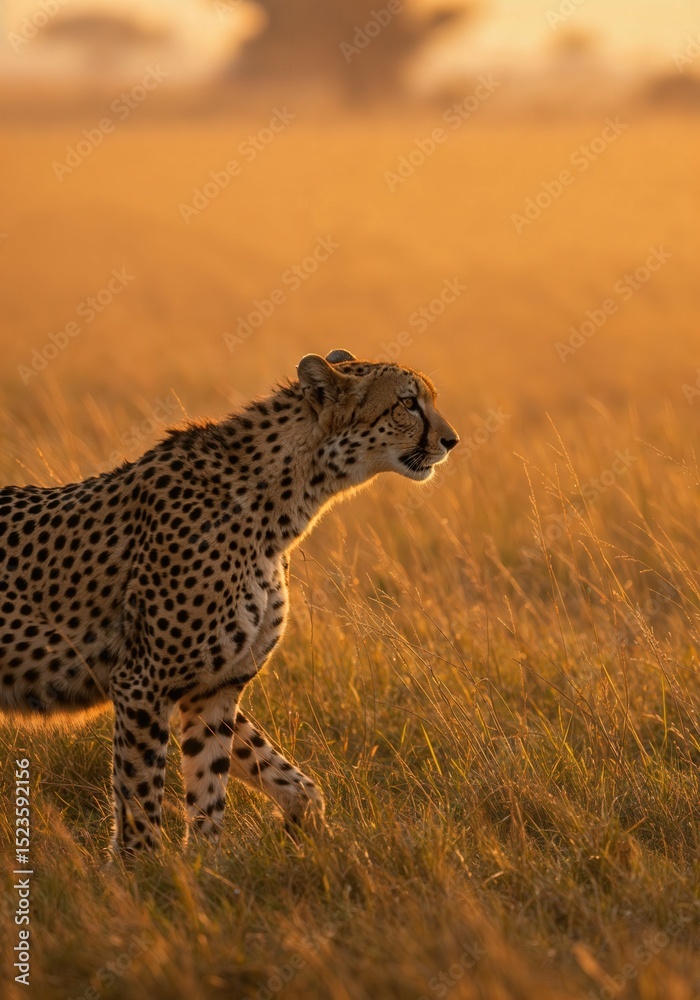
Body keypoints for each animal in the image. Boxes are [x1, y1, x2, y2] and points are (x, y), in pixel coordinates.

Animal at [0, 350, 459, 852]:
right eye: (408, 403)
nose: (451, 440)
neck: (282, 505)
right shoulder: (143, 683)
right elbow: (141, 803)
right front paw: (143, 869)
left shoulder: (214, 687)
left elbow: (243, 781)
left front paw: (237, 852)